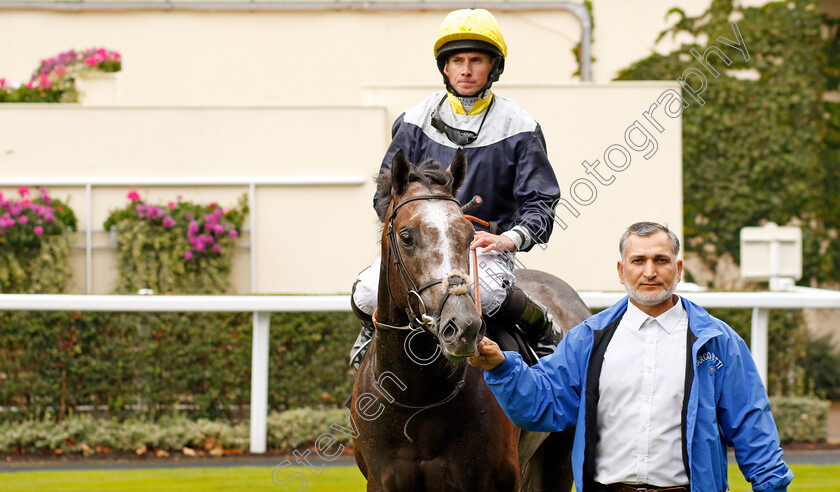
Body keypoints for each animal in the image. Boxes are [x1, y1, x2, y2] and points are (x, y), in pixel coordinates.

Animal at [352, 150, 588, 492]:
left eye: (469, 235)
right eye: (406, 236)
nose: (462, 326)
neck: (418, 399)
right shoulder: (382, 481)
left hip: (558, 459)